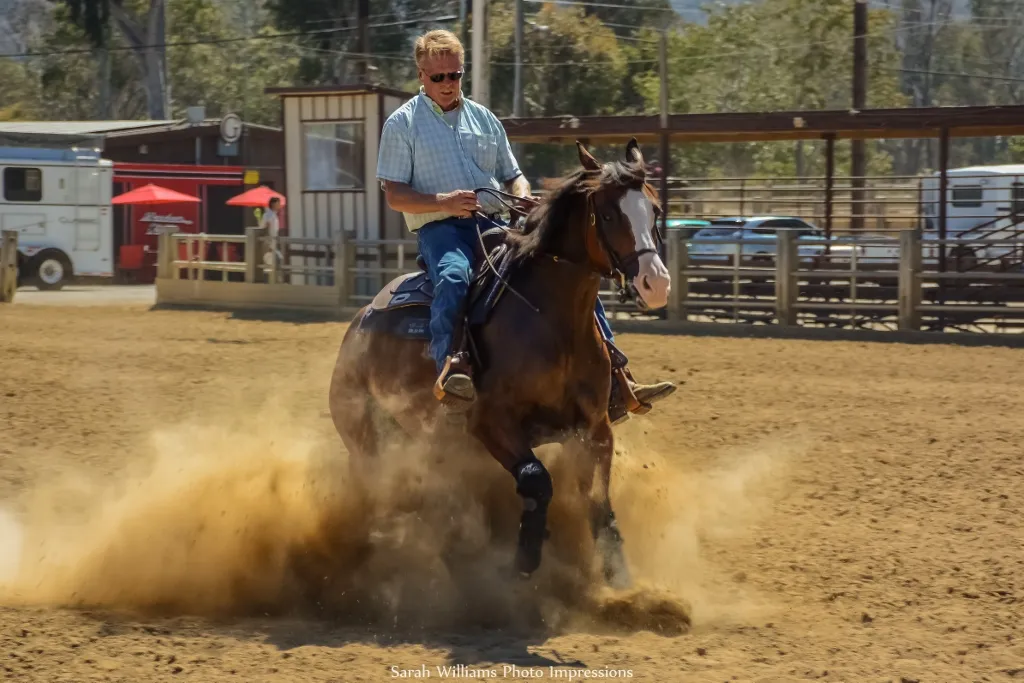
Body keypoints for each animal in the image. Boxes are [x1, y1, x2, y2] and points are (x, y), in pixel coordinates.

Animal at [328, 138, 671, 585]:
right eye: (610, 213)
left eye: (656, 210)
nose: (656, 283)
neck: (553, 324)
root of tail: (358, 324)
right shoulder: (491, 422)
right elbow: (536, 479)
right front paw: (525, 556)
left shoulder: (594, 428)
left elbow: (597, 499)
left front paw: (621, 581)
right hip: (366, 441)